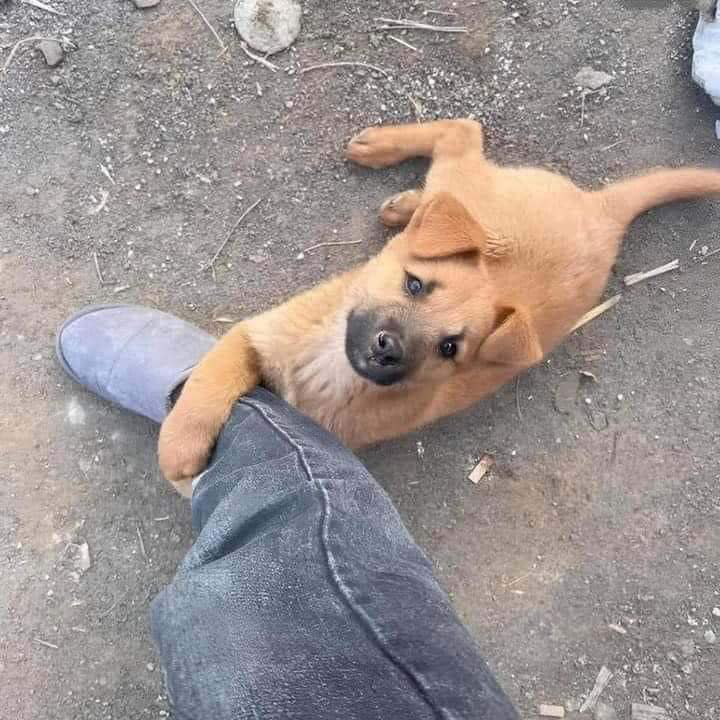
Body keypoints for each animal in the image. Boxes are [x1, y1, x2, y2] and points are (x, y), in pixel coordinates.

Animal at [160, 121, 720, 498]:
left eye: (449, 347)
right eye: (414, 285)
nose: (388, 349)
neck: (331, 366)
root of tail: (601, 213)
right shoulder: (256, 332)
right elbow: (209, 381)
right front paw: (180, 447)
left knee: (463, 138)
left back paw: (402, 195)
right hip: (468, 189)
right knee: (462, 136)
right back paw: (387, 164)